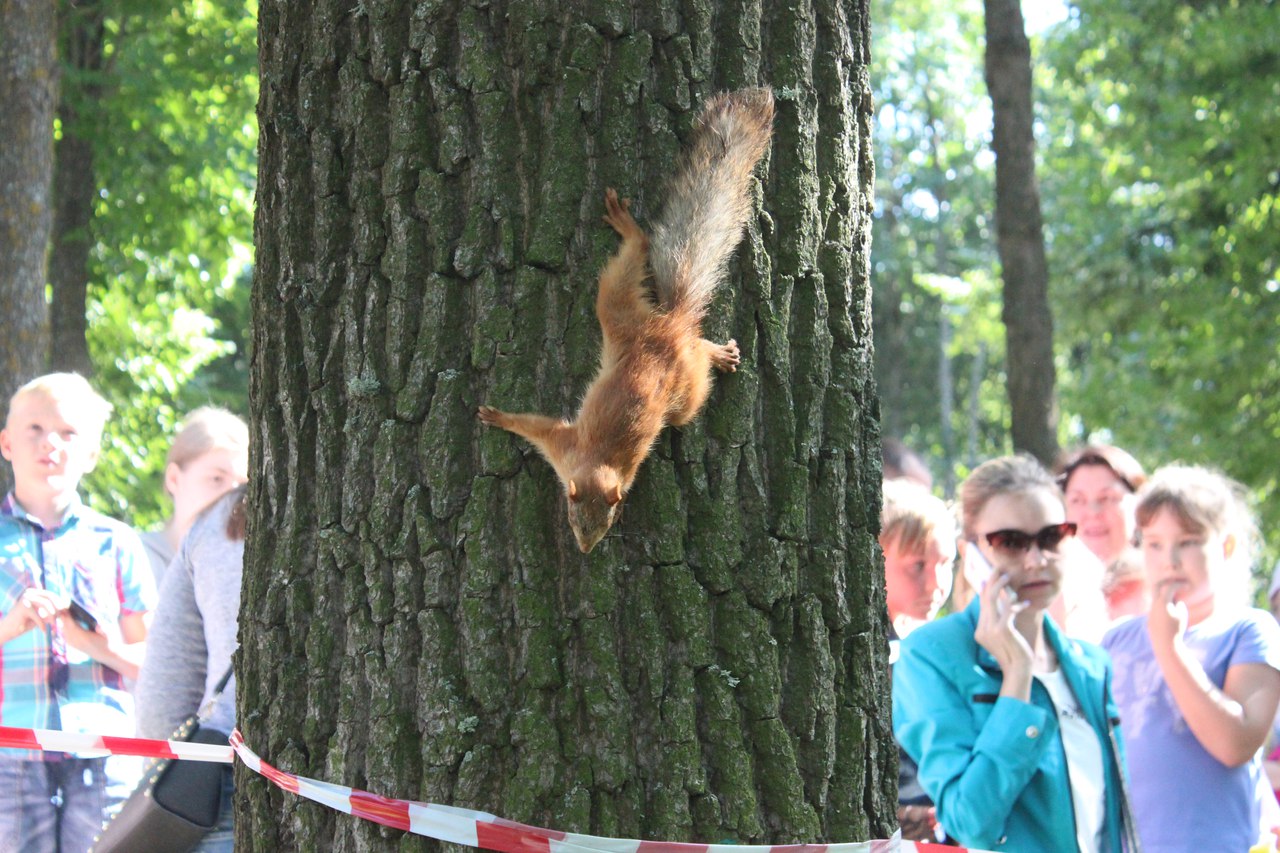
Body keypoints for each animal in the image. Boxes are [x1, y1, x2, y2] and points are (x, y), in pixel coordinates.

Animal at [481, 86, 773, 550]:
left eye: (608, 520)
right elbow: (533, 425)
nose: (585, 550)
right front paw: (498, 417)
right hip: (619, 309)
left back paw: (717, 351)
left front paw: (498, 417)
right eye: (574, 517)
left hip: (670, 374)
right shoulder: (563, 446)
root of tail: (671, 326)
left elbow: (536, 426)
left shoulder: (566, 447)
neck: (599, 464)